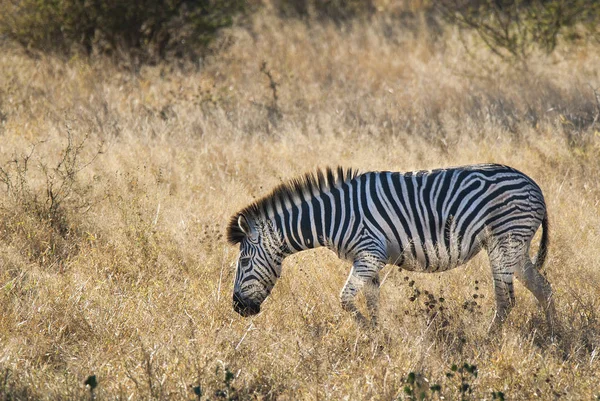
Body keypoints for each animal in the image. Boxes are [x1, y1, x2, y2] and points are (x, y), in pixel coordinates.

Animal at [227, 163, 556, 328]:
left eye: (243, 263)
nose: (237, 308)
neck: (333, 216)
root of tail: (534, 185)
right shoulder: (367, 260)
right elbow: (372, 303)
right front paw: (379, 339)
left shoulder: (370, 254)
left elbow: (345, 300)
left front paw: (369, 333)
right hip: (515, 247)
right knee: (544, 288)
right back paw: (555, 334)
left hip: (505, 242)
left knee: (507, 300)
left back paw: (488, 341)